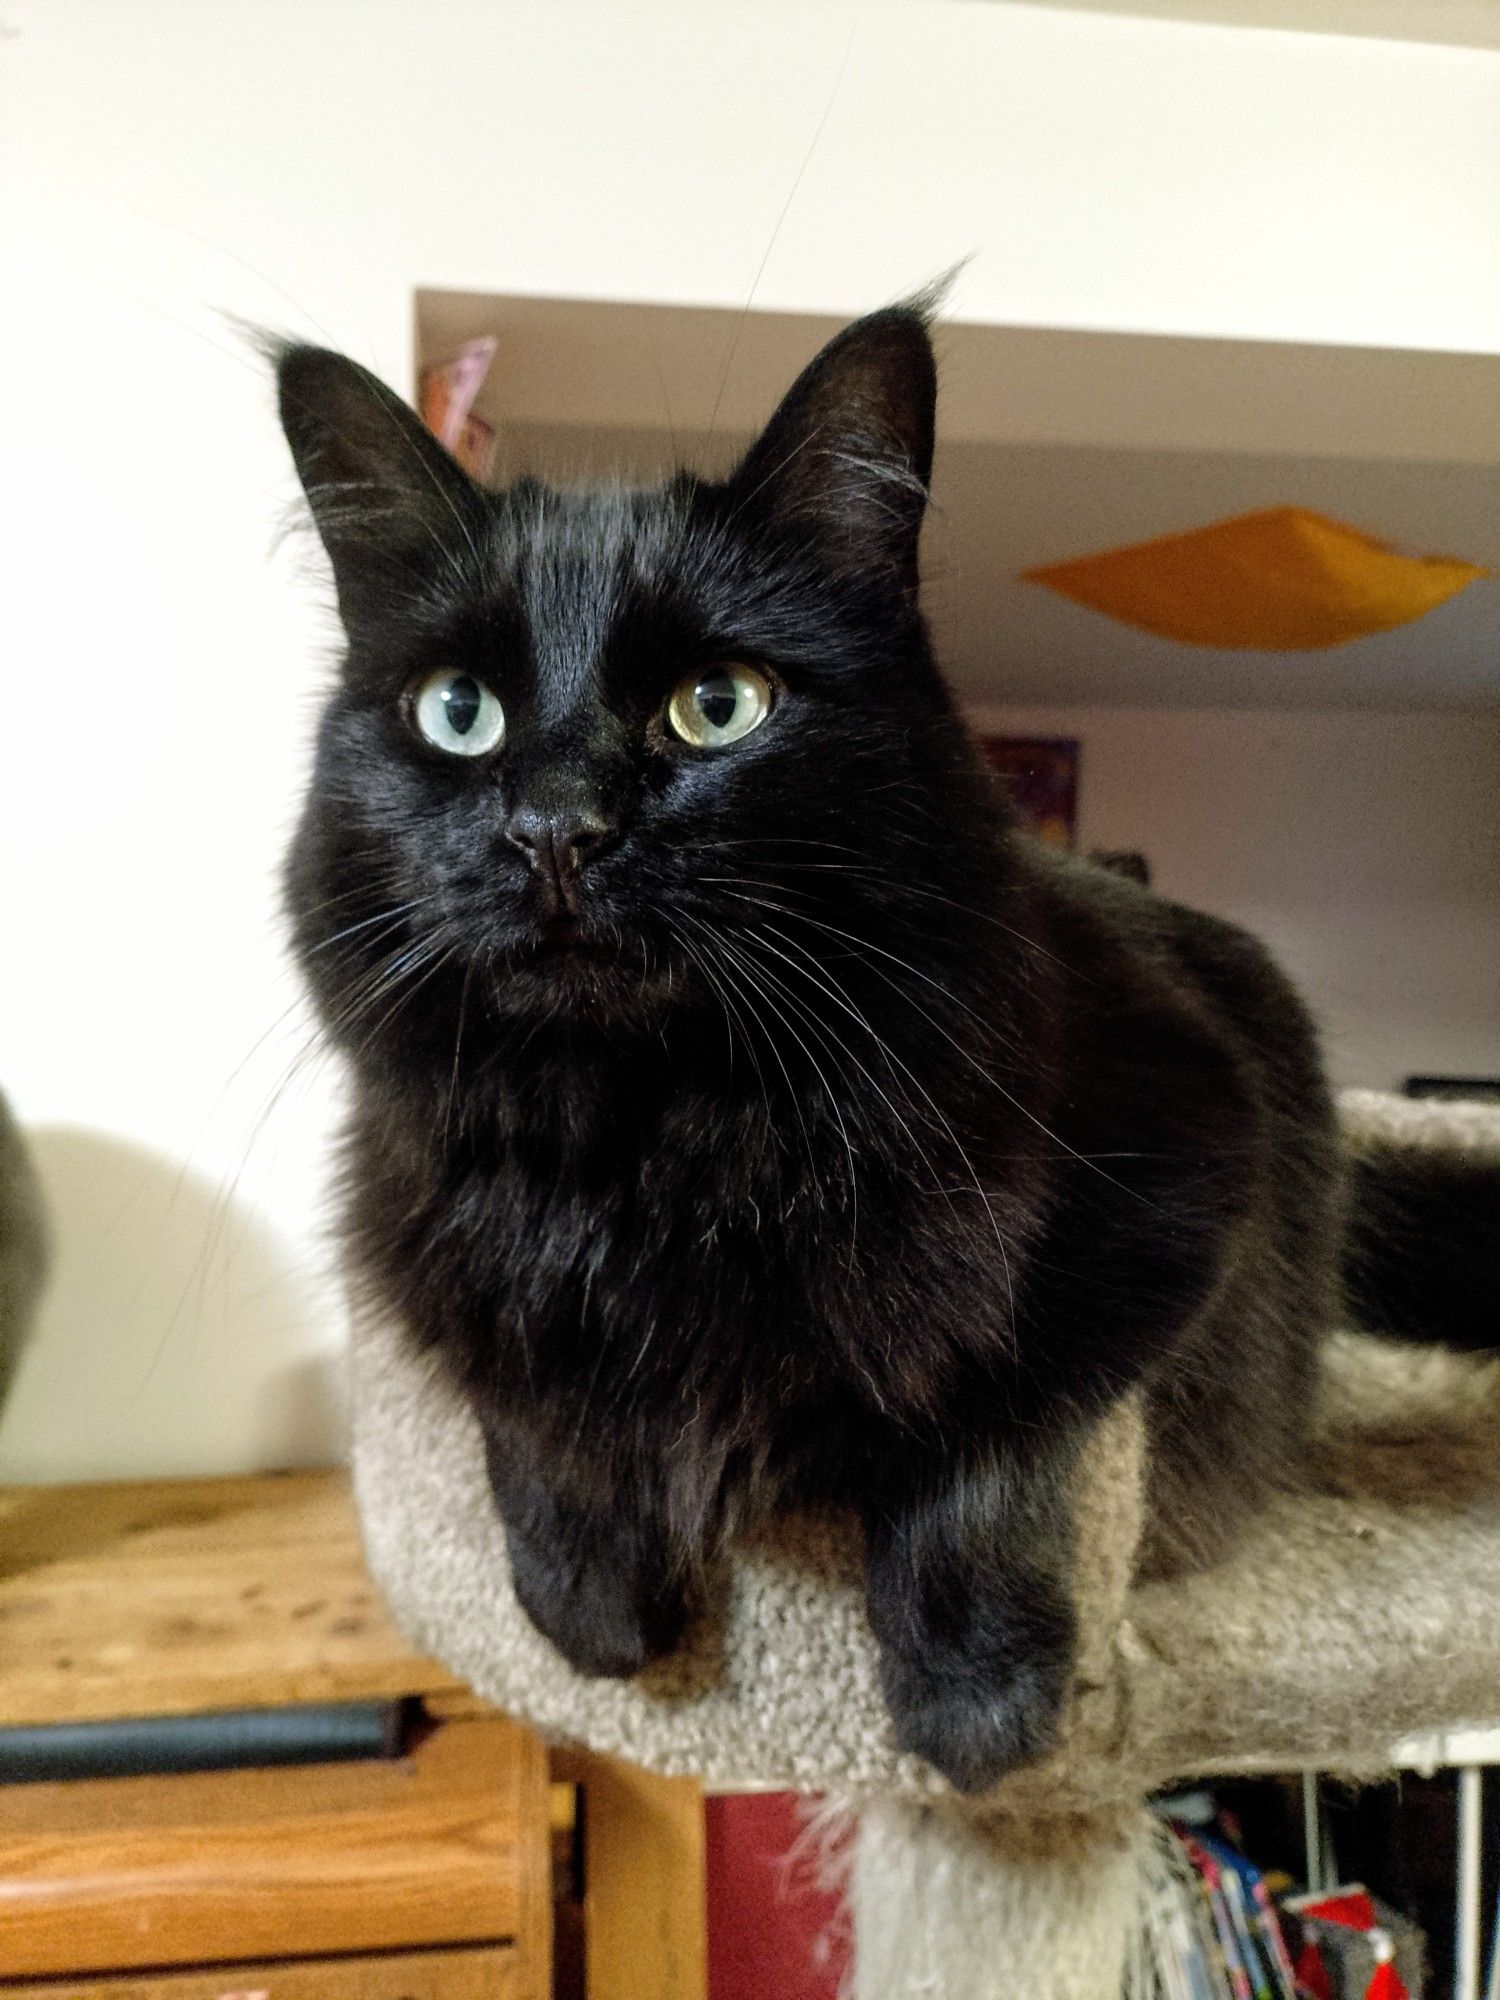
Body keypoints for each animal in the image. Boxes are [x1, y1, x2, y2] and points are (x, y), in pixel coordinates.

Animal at [282, 312, 1496, 1800]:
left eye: (719, 704)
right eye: (458, 712)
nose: (557, 827)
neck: (656, 1143)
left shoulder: (1179, 1175)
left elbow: (983, 1419)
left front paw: (980, 1700)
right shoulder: (428, 1237)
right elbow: (535, 1401)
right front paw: (595, 1603)